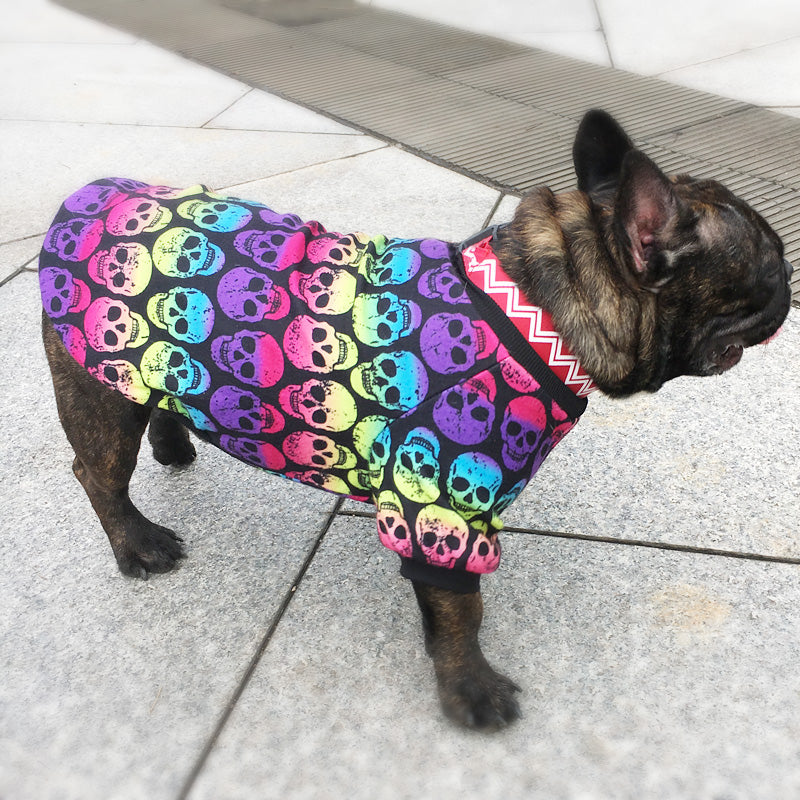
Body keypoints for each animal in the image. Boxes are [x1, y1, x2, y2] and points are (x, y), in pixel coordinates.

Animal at [40, 111, 792, 732]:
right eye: (771, 258)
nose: (792, 274)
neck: (539, 309)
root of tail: (83, 197)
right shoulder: (441, 510)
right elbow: (461, 612)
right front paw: (470, 691)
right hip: (96, 392)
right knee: (97, 472)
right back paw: (138, 546)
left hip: (145, 375)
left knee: (153, 404)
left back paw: (175, 445)